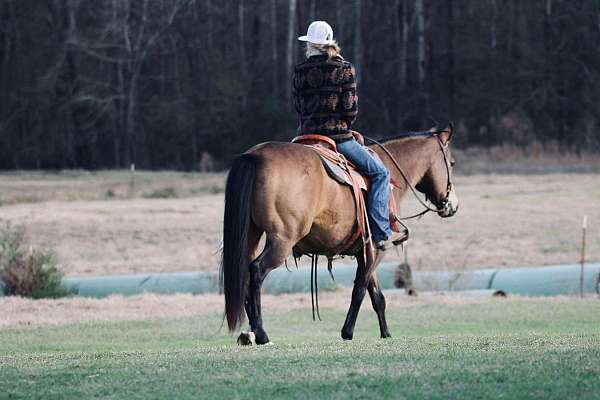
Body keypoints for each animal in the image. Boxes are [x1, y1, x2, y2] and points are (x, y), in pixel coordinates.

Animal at [221, 126, 460, 344]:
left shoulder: (367, 251)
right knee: (256, 270)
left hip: (251, 235)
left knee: (244, 272)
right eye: (451, 163)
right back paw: (261, 333)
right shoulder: (376, 248)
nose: (453, 205)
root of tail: (255, 156)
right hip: (282, 240)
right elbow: (360, 290)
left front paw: (385, 333)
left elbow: (377, 296)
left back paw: (250, 333)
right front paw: (348, 332)